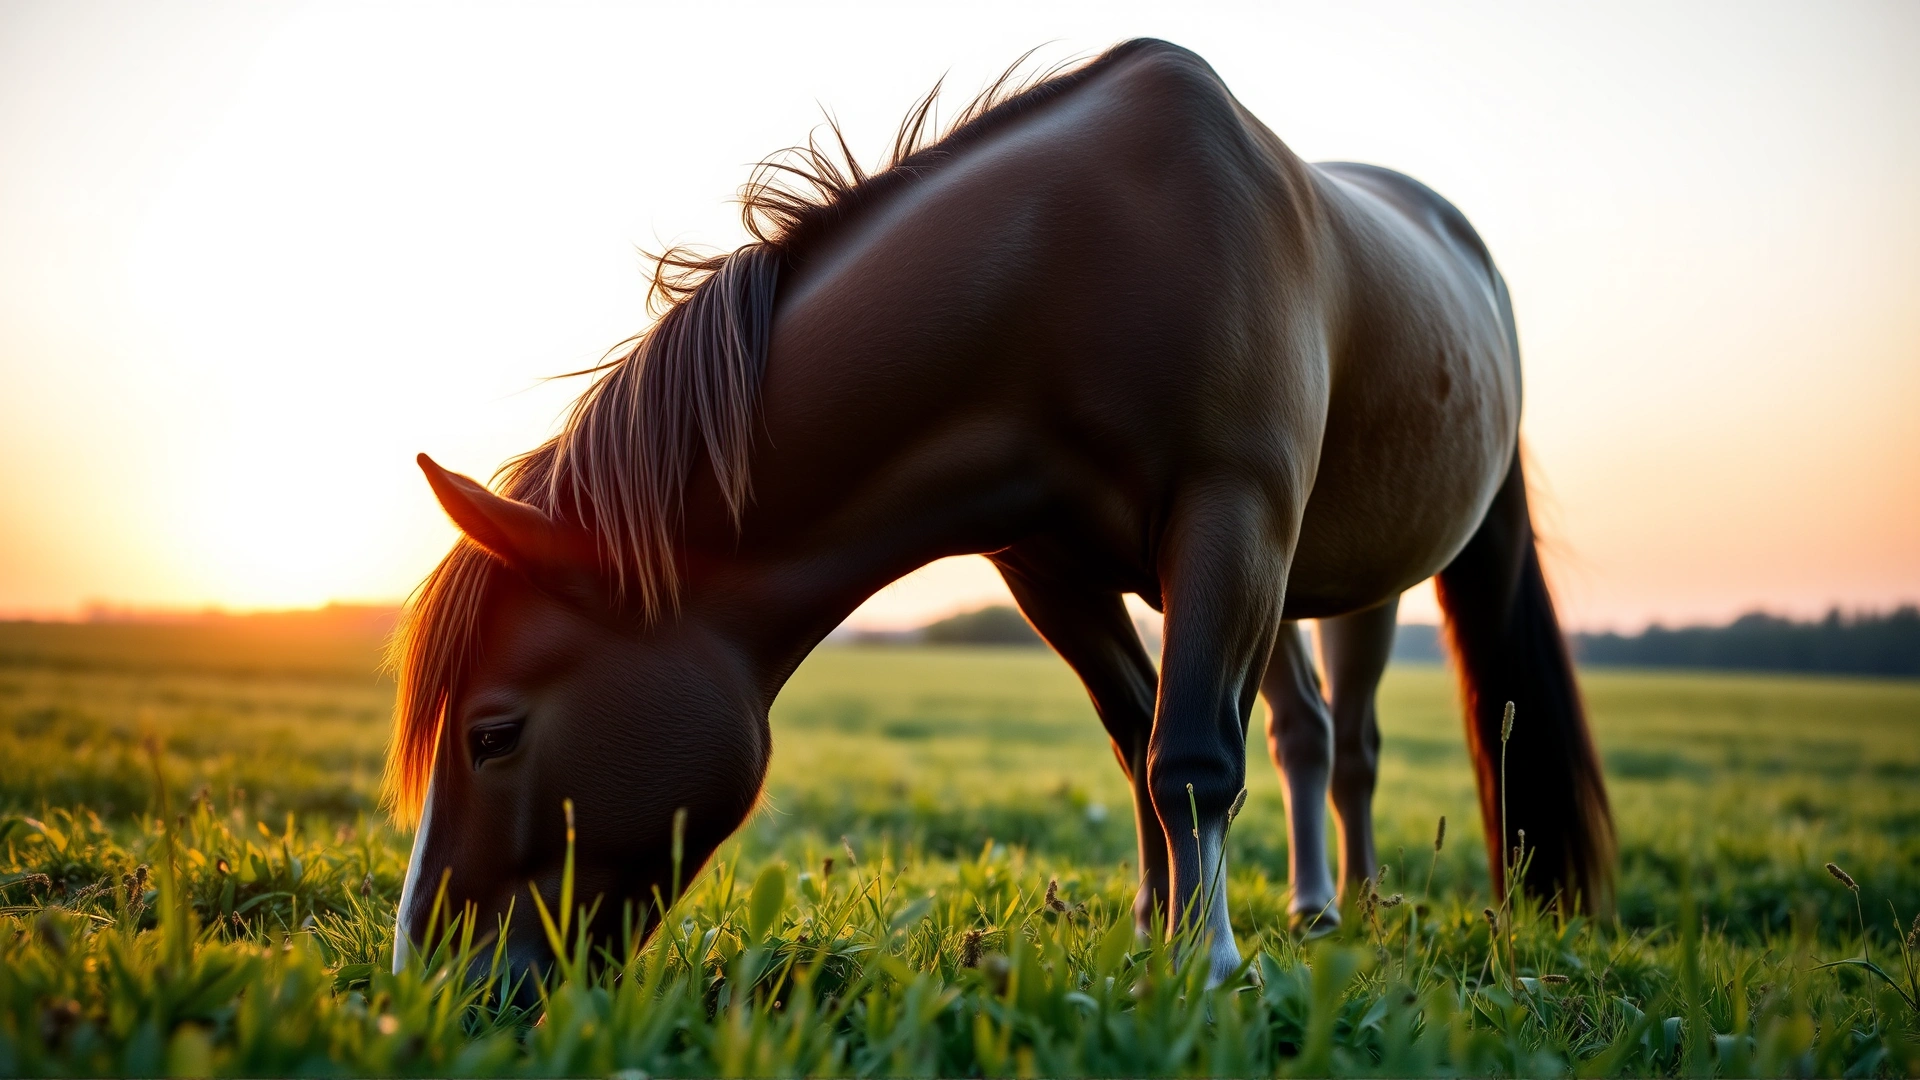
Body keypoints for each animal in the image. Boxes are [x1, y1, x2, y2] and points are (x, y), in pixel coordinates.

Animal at [386, 39, 1613, 987]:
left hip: (1350, 570)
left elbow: (1188, 759)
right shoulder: (1052, 569)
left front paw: (1207, 966)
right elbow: (1136, 742)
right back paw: (1312, 910)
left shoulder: (1231, 517)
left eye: (493, 735)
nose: (430, 978)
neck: (1076, 264)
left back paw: (1349, 909)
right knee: (1305, 726)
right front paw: (1152, 937)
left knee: (1350, 741)